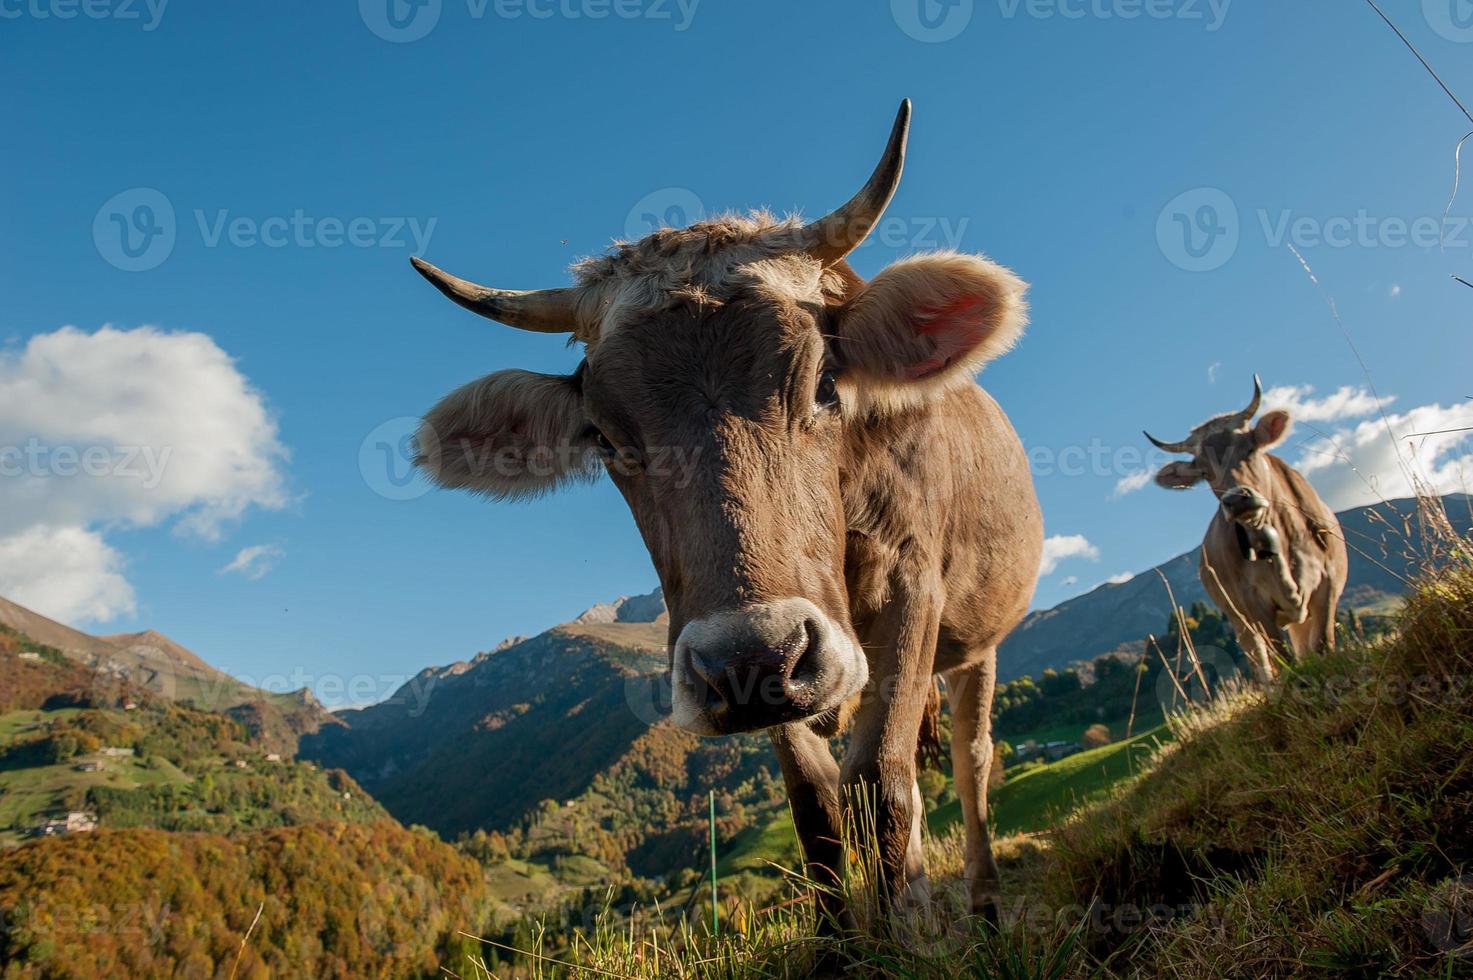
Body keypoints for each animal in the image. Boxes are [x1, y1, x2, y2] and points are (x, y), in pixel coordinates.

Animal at [409, 103, 1042, 919]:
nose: (755, 659)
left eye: (825, 385)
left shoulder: (913, 581)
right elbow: (815, 805)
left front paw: (908, 932)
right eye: (606, 438)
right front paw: (848, 937)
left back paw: (985, 902)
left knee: (972, 757)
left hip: (977, 636)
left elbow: (881, 783)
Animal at [1148, 377, 1349, 683]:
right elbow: (1283, 659)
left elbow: (1323, 646)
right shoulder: (1254, 604)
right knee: (1262, 665)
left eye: (1250, 448)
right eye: (1204, 472)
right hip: (1238, 621)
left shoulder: (1328, 583)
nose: (1237, 500)